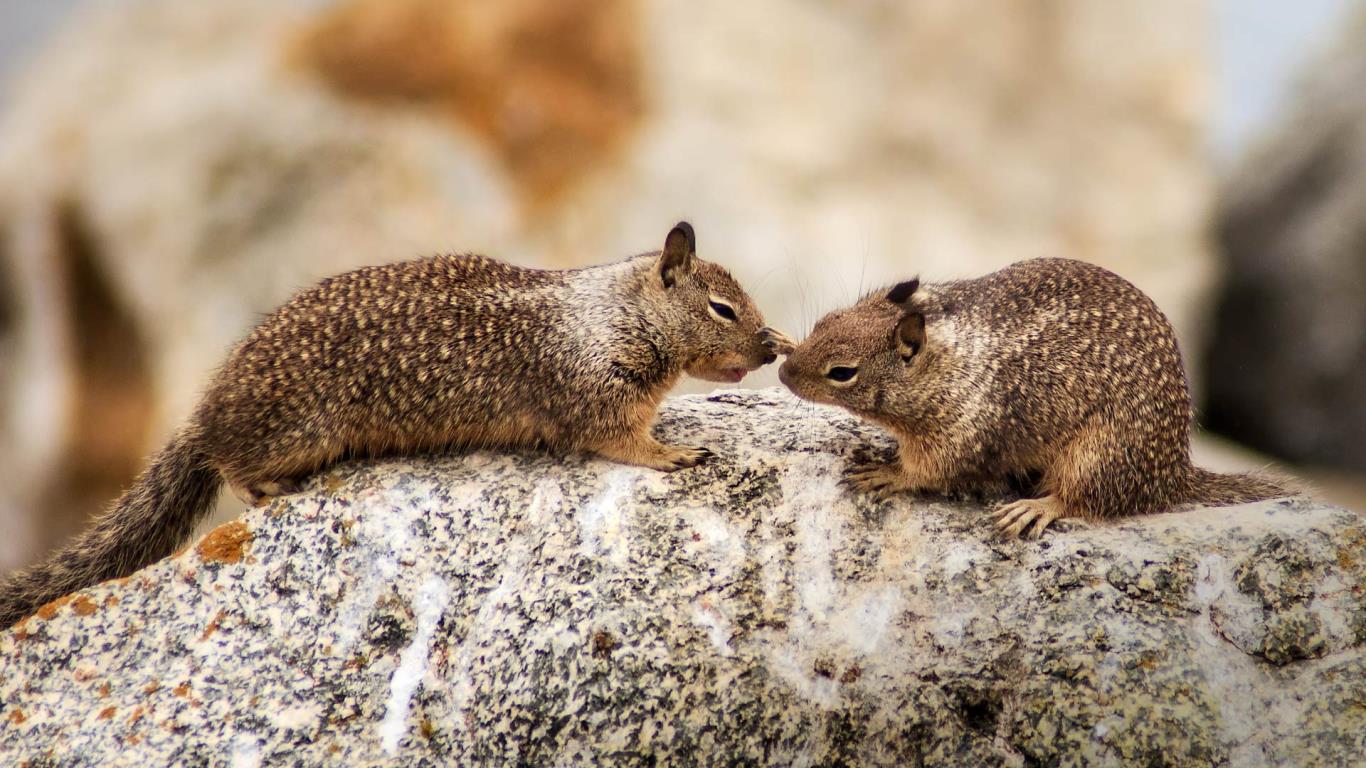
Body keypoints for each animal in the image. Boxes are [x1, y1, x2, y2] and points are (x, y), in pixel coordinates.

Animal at [0, 221, 787, 628]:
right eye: (721, 308)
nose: (769, 347)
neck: (613, 310)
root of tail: (207, 407)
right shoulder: (595, 392)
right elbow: (623, 441)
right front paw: (674, 453)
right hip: (296, 430)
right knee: (231, 464)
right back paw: (267, 489)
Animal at [776, 257, 1289, 539]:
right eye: (824, 320)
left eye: (842, 372)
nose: (782, 372)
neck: (947, 363)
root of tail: (1173, 475)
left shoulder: (960, 434)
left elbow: (928, 471)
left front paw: (885, 472)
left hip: (1098, 454)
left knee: (1086, 501)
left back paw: (1035, 508)